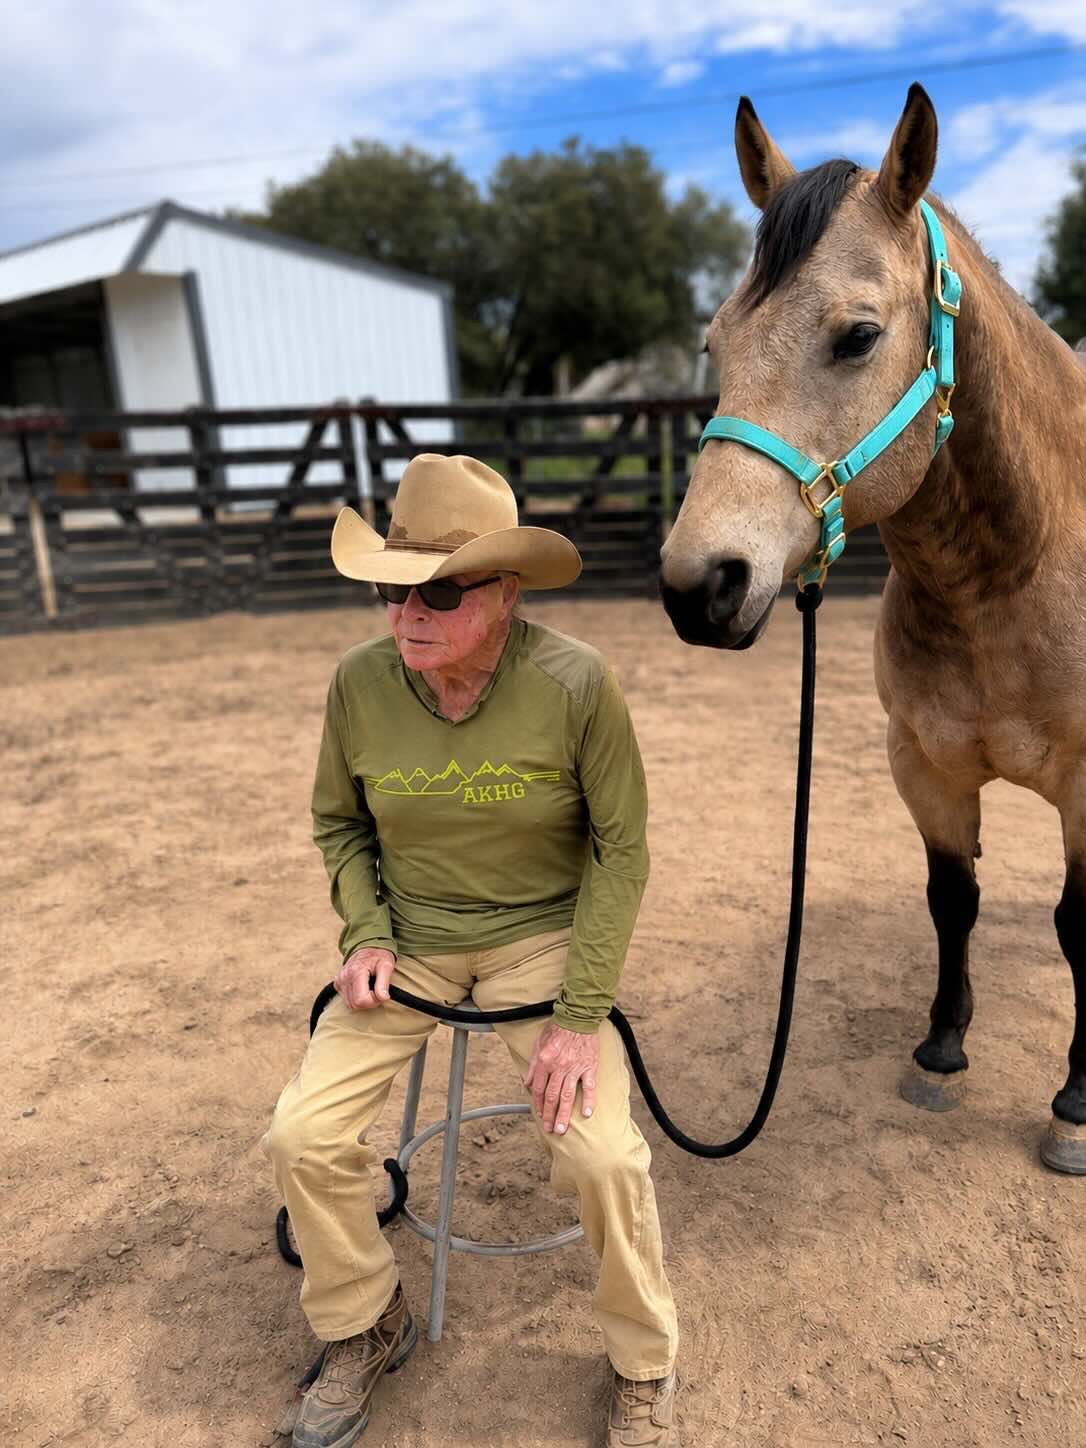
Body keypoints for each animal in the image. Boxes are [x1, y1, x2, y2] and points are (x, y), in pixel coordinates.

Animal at [658, 83, 1086, 1174]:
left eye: (856, 336)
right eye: (715, 344)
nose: (698, 585)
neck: (1020, 572)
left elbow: (1079, 922)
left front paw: (1075, 1105)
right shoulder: (921, 764)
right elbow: (954, 899)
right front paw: (940, 1049)